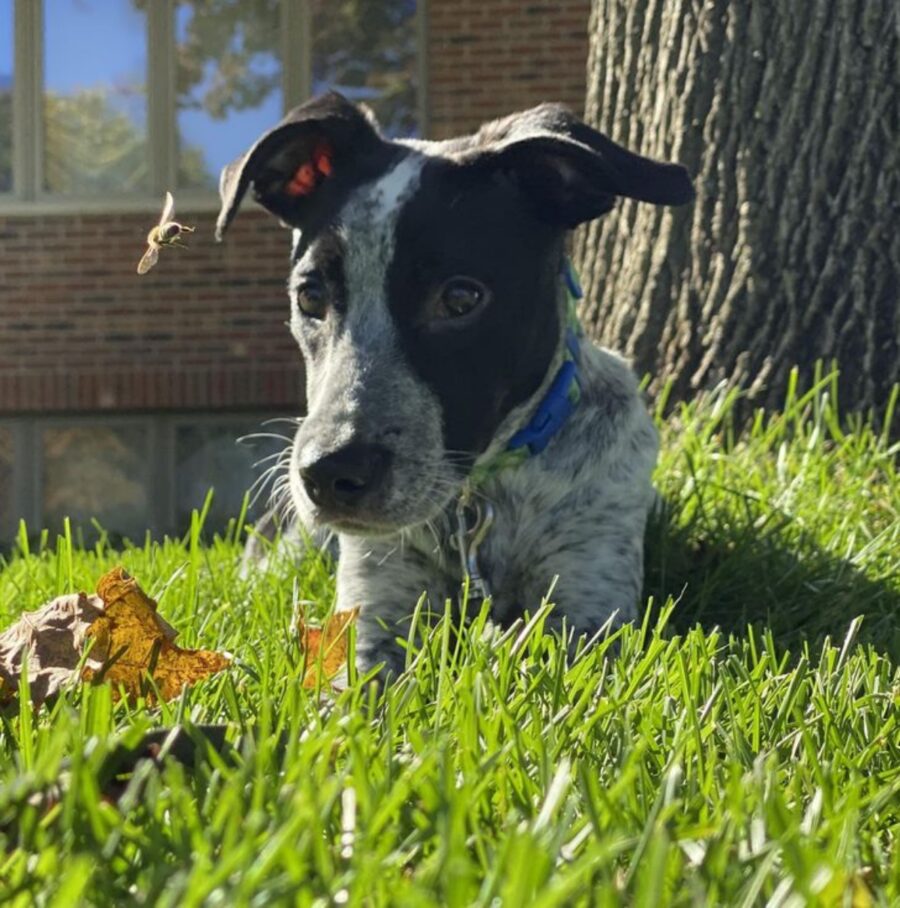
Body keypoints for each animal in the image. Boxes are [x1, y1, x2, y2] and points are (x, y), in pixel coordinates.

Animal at [220, 92, 696, 676]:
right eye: (310, 296)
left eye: (461, 298)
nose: (328, 473)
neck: (482, 497)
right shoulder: (378, 599)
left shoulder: (590, 603)